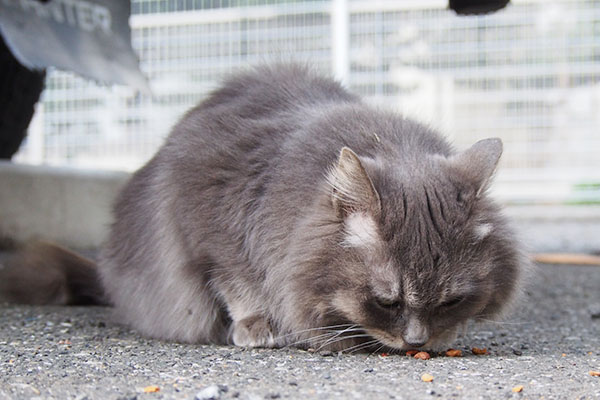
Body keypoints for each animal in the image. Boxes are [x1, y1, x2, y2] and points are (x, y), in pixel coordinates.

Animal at [0, 64, 524, 352]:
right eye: (387, 300)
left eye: (451, 300)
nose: (417, 342)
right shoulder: (208, 222)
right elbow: (237, 283)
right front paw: (259, 326)